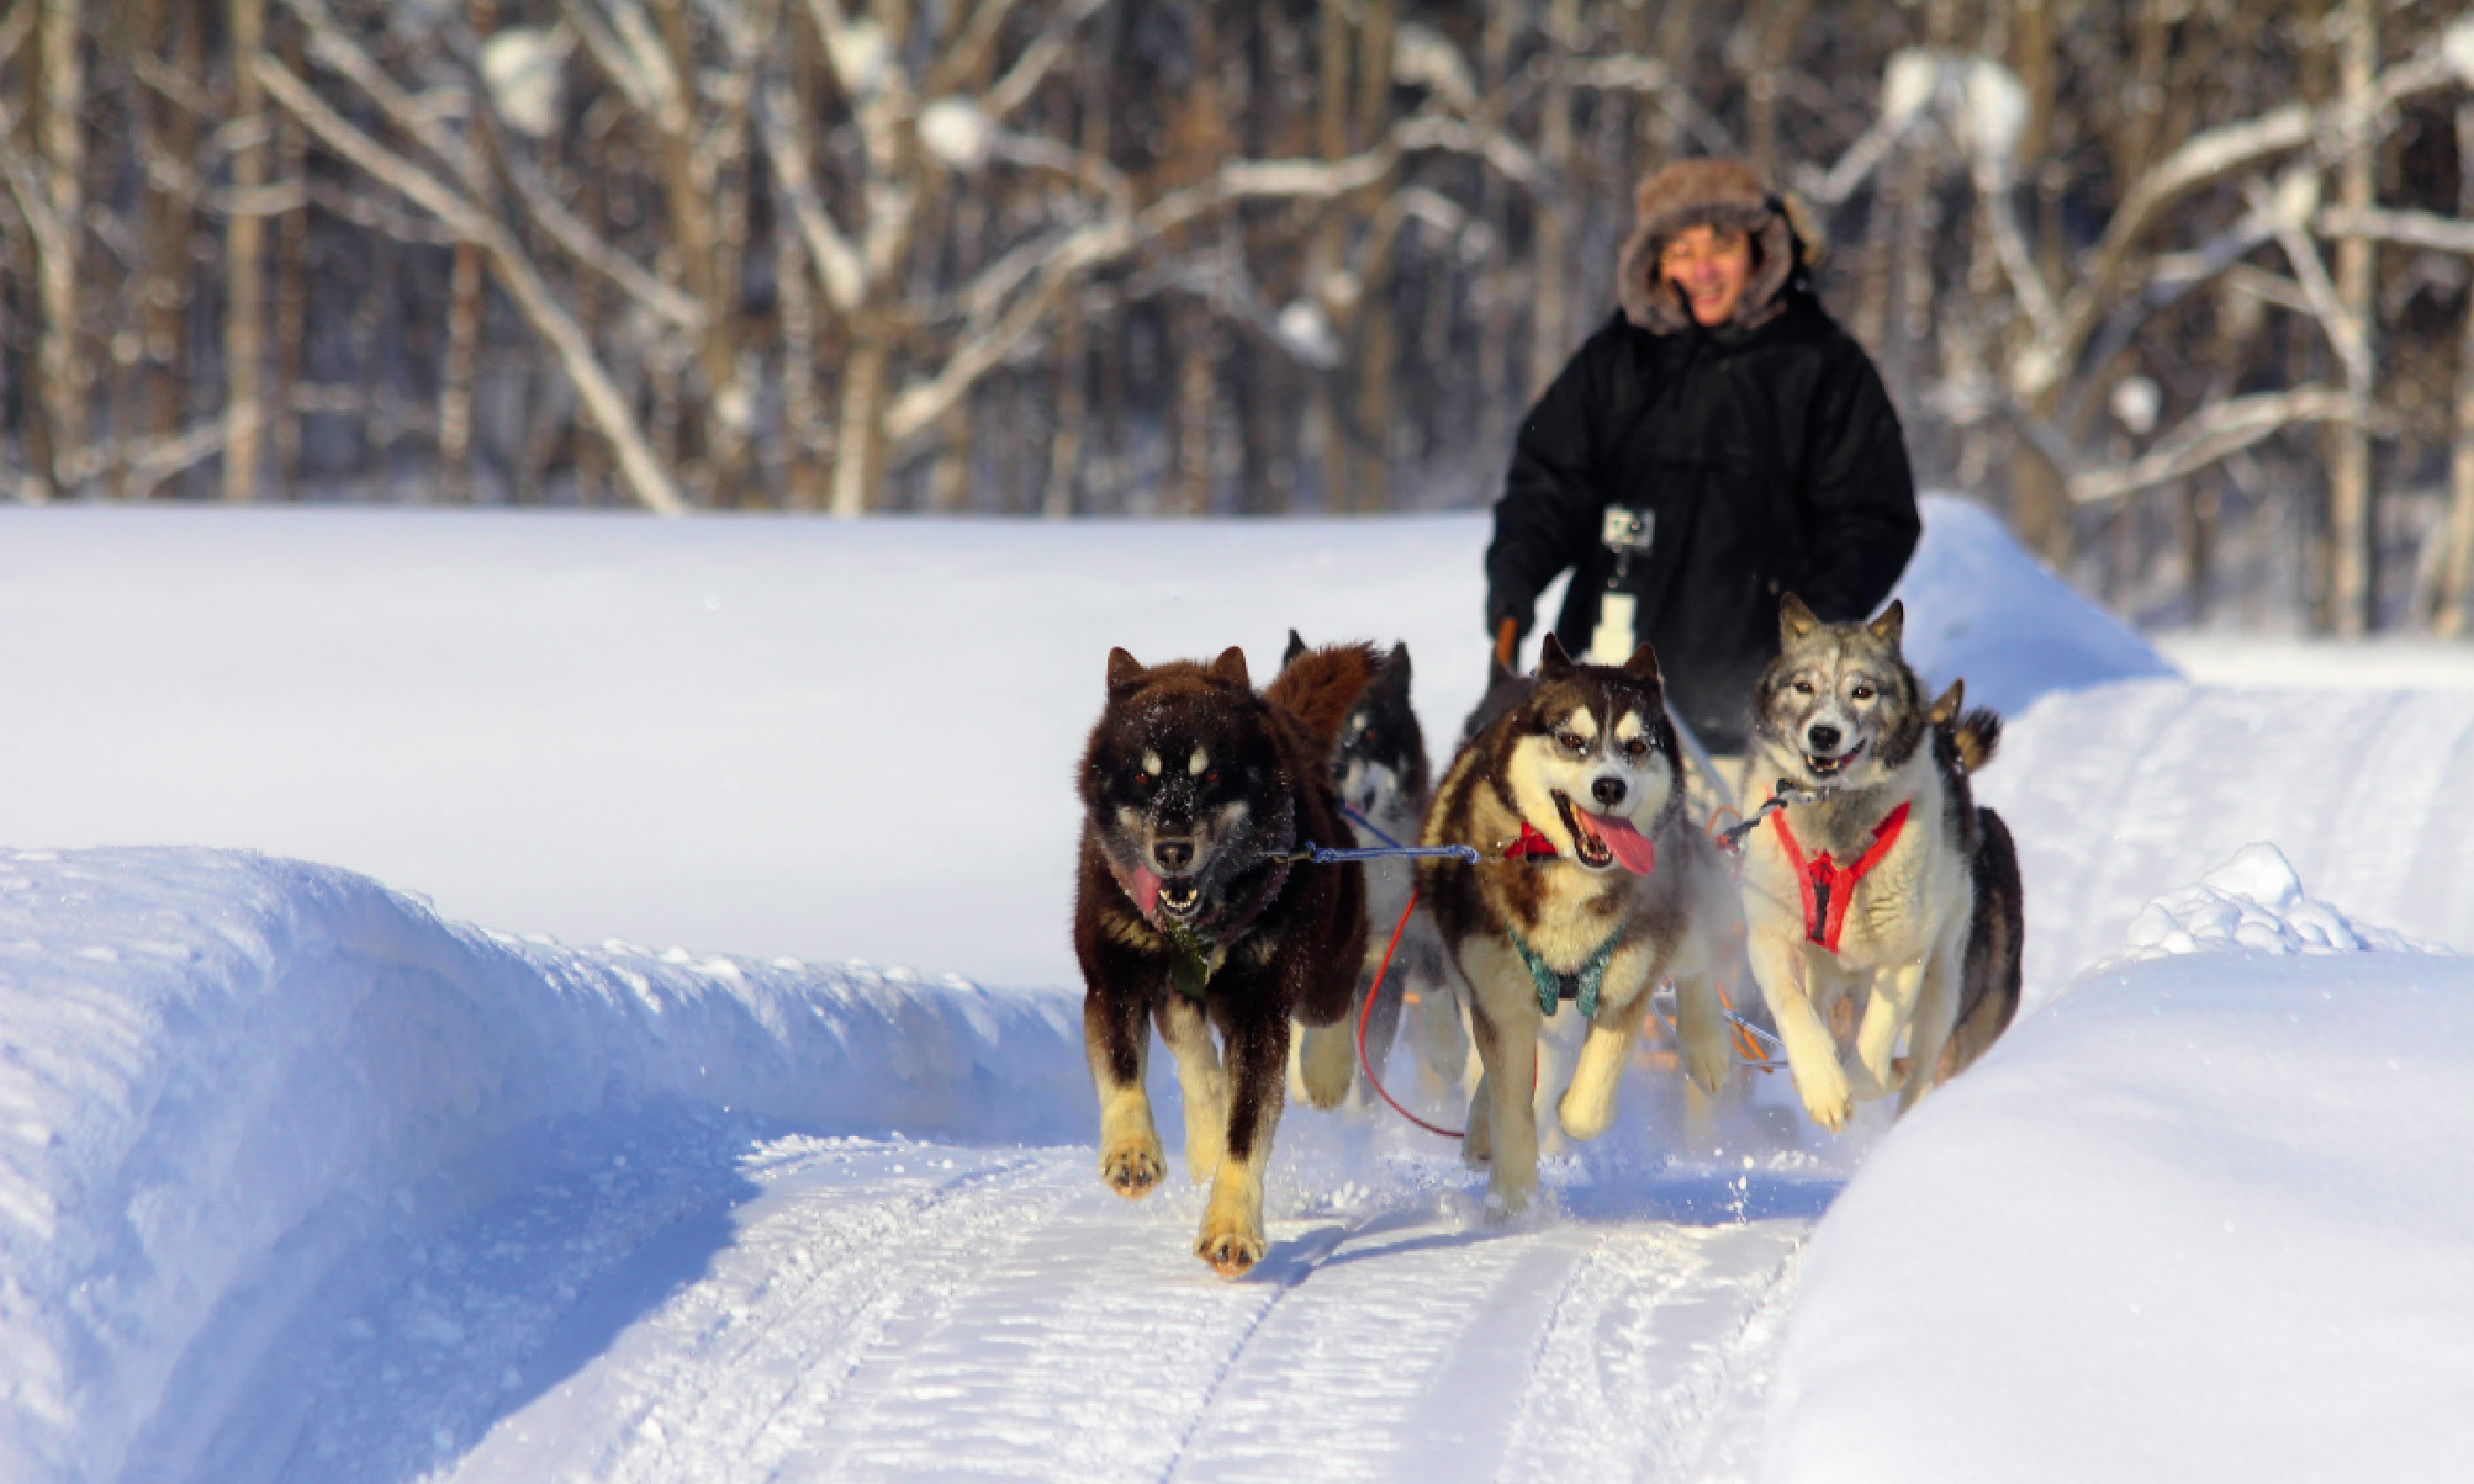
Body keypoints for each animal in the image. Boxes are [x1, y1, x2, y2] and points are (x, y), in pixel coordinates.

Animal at [1068, 638, 1375, 1276]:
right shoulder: (1113, 981)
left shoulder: (1259, 1014)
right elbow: (1123, 1072)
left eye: (1209, 774)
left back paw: (1324, 1072)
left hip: (1329, 948)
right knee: (1195, 1056)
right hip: (1175, 991)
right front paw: (1132, 1150)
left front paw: (1231, 1228)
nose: (1172, 848)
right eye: (1142, 775)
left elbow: (1248, 1127)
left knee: (1329, 1006)